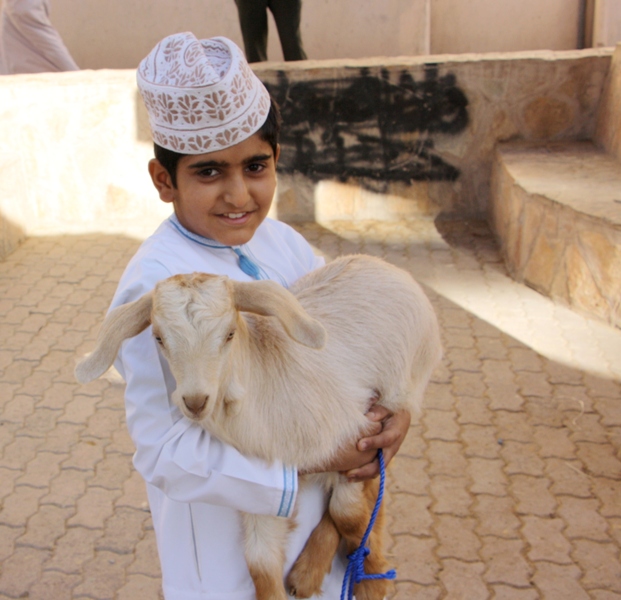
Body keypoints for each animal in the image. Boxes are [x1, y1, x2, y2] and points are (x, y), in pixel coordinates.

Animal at [75, 254, 440, 600]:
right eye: (158, 337)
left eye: (229, 334)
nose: (195, 401)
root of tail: (383, 264)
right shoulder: (268, 488)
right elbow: (260, 563)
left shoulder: (354, 437)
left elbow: (347, 511)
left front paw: (373, 581)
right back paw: (307, 574)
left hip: (400, 389)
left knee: (376, 486)